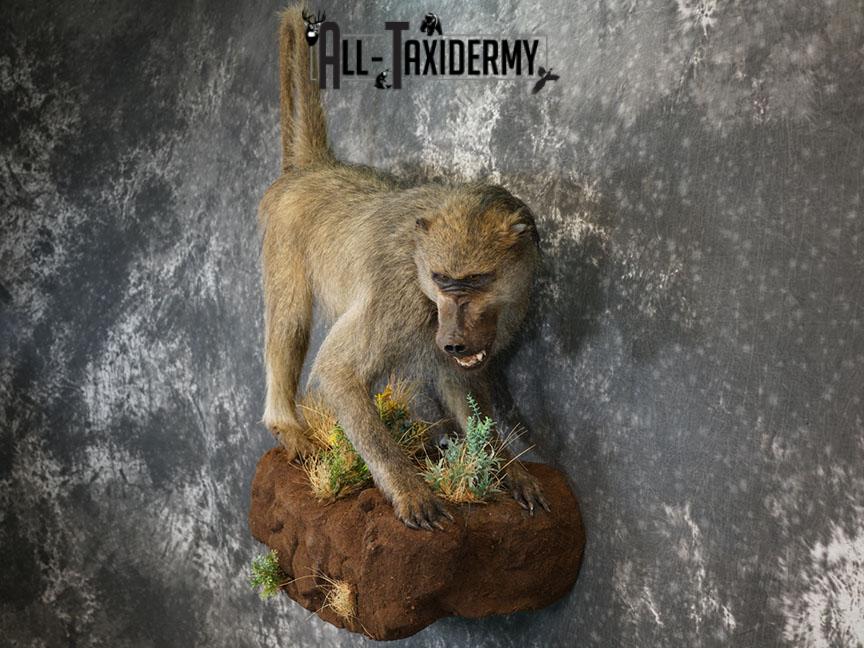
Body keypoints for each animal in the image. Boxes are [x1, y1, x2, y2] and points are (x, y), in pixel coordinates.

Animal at [259, 4, 549, 530]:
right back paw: (285, 425)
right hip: (283, 241)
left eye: (475, 281)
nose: (452, 338)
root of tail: (316, 170)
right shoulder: (397, 299)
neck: (419, 264)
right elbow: (337, 371)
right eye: (442, 281)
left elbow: (457, 378)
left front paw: (504, 469)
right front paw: (409, 490)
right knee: (289, 323)